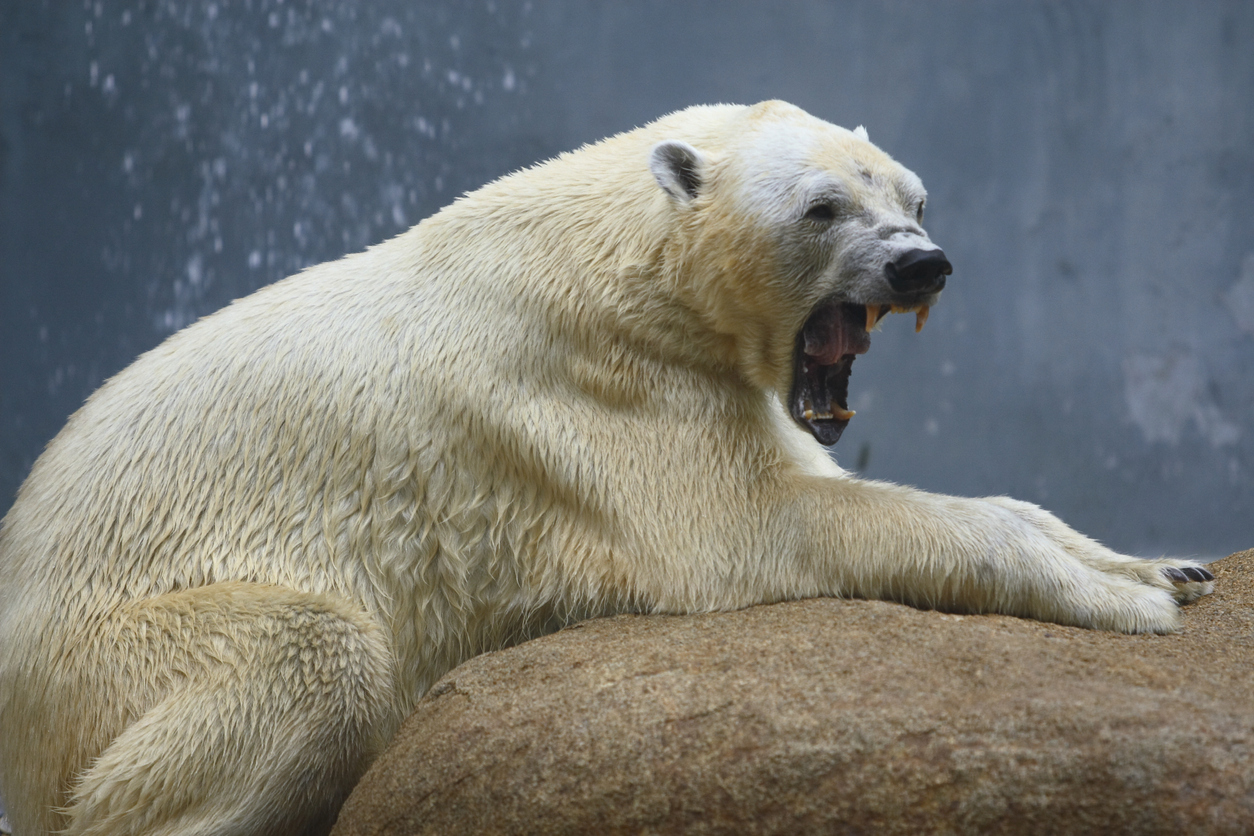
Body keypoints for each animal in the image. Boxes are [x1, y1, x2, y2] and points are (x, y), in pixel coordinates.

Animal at [0, 104, 1213, 836]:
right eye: (823, 206)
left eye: (914, 196)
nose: (924, 264)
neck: (617, 259)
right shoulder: (593, 388)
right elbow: (754, 527)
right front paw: (1126, 599)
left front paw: (1167, 563)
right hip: (92, 661)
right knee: (311, 656)